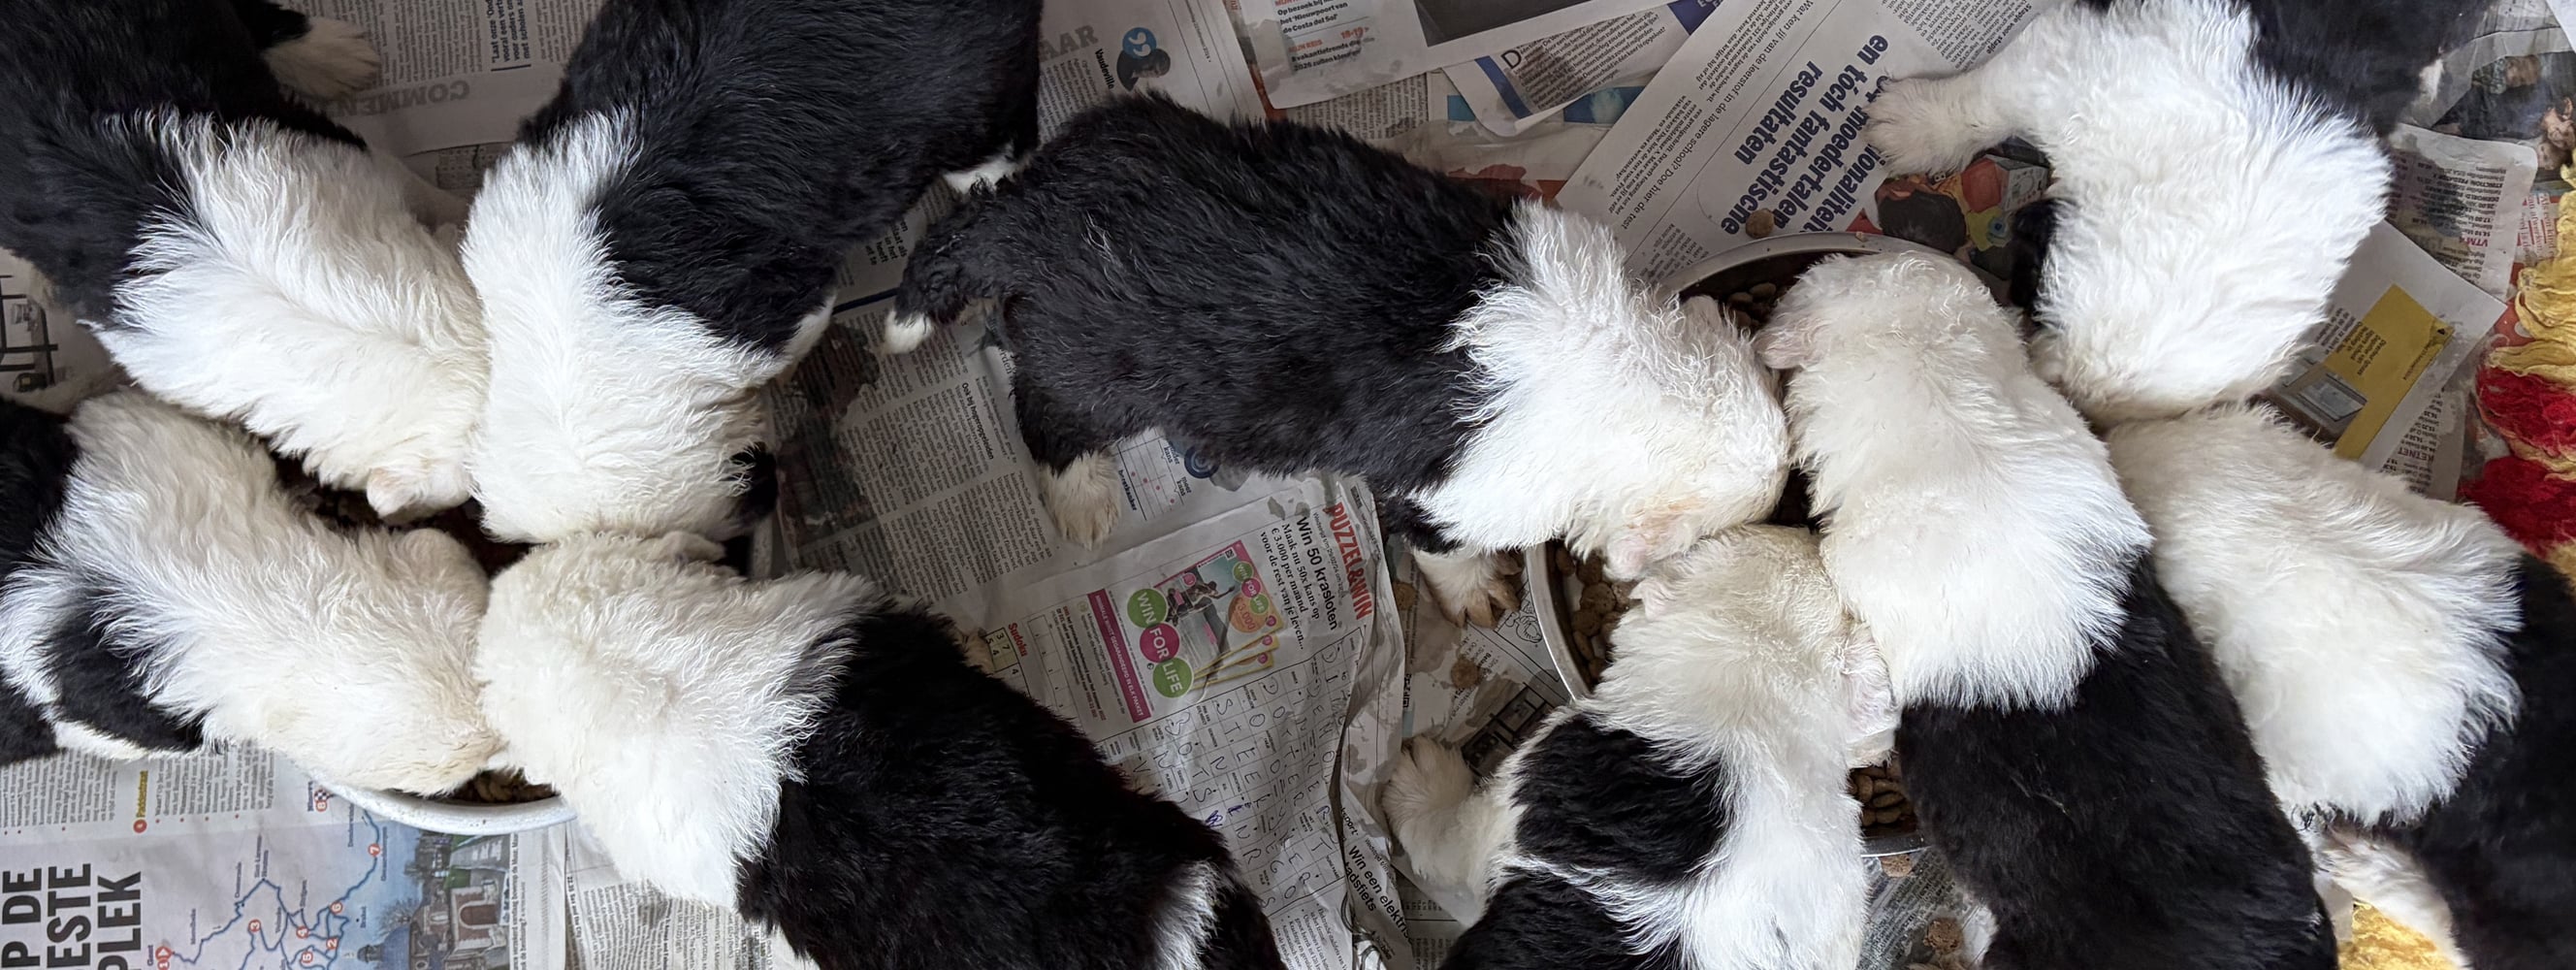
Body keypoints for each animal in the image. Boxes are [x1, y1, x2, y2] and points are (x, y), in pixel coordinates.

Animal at [888, 95, 1788, 624]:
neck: (1626, 362)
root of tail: (1034, 212)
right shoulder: (1446, 496)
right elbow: (1442, 548)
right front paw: (1476, 595)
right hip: (1095, 366)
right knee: (1045, 408)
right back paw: (1084, 499)